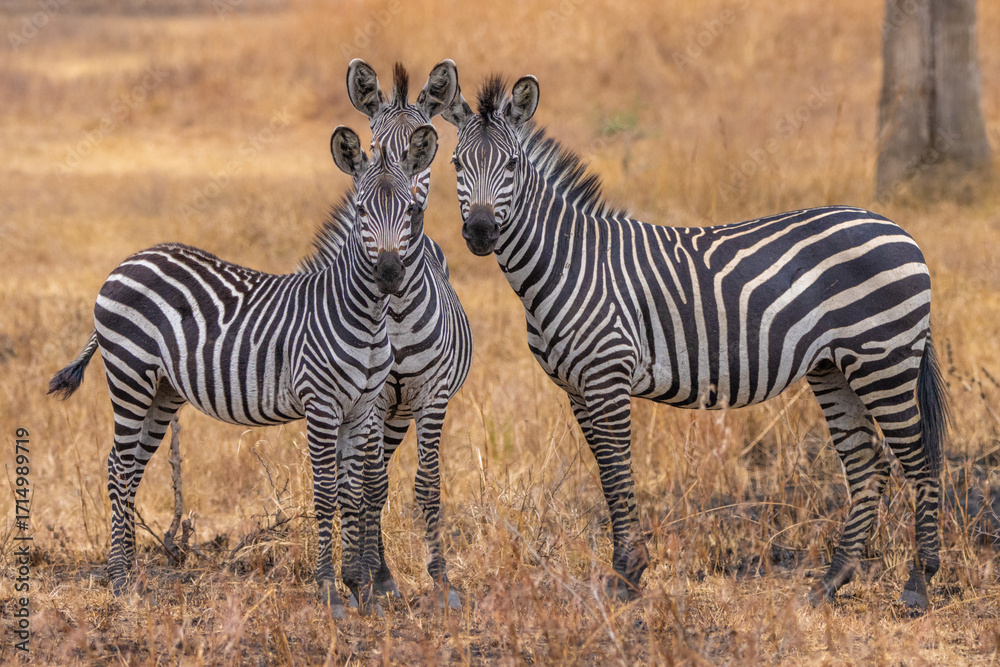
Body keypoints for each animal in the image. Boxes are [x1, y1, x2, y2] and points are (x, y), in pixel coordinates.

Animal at [48, 124, 440, 616]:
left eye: (411, 210)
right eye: (363, 211)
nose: (389, 273)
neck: (366, 317)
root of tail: (130, 260)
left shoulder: (362, 408)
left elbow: (353, 493)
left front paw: (361, 590)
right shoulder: (321, 405)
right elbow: (326, 492)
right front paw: (330, 591)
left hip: (162, 390)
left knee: (129, 466)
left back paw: (132, 577)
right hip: (129, 375)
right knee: (118, 467)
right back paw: (120, 583)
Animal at [299, 60, 472, 608]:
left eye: (425, 145)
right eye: (374, 144)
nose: (391, 269)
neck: (390, 313)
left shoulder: (431, 394)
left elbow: (427, 485)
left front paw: (442, 580)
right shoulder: (369, 402)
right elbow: (368, 486)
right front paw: (374, 579)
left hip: (400, 413)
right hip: (380, 412)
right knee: (362, 480)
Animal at [442, 75, 949, 610]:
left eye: (512, 165)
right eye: (455, 163)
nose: (480, 232)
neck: (567, 262)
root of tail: (898, 230)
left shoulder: (607, 376)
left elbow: (617, 472)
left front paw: (626, 575)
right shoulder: (577, 388)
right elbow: (605, 472)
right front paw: (628, 572)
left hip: (884, 360)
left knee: (920, 460)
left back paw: (919, 582)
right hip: (835, 368)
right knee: (868, 466)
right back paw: (830, 582)